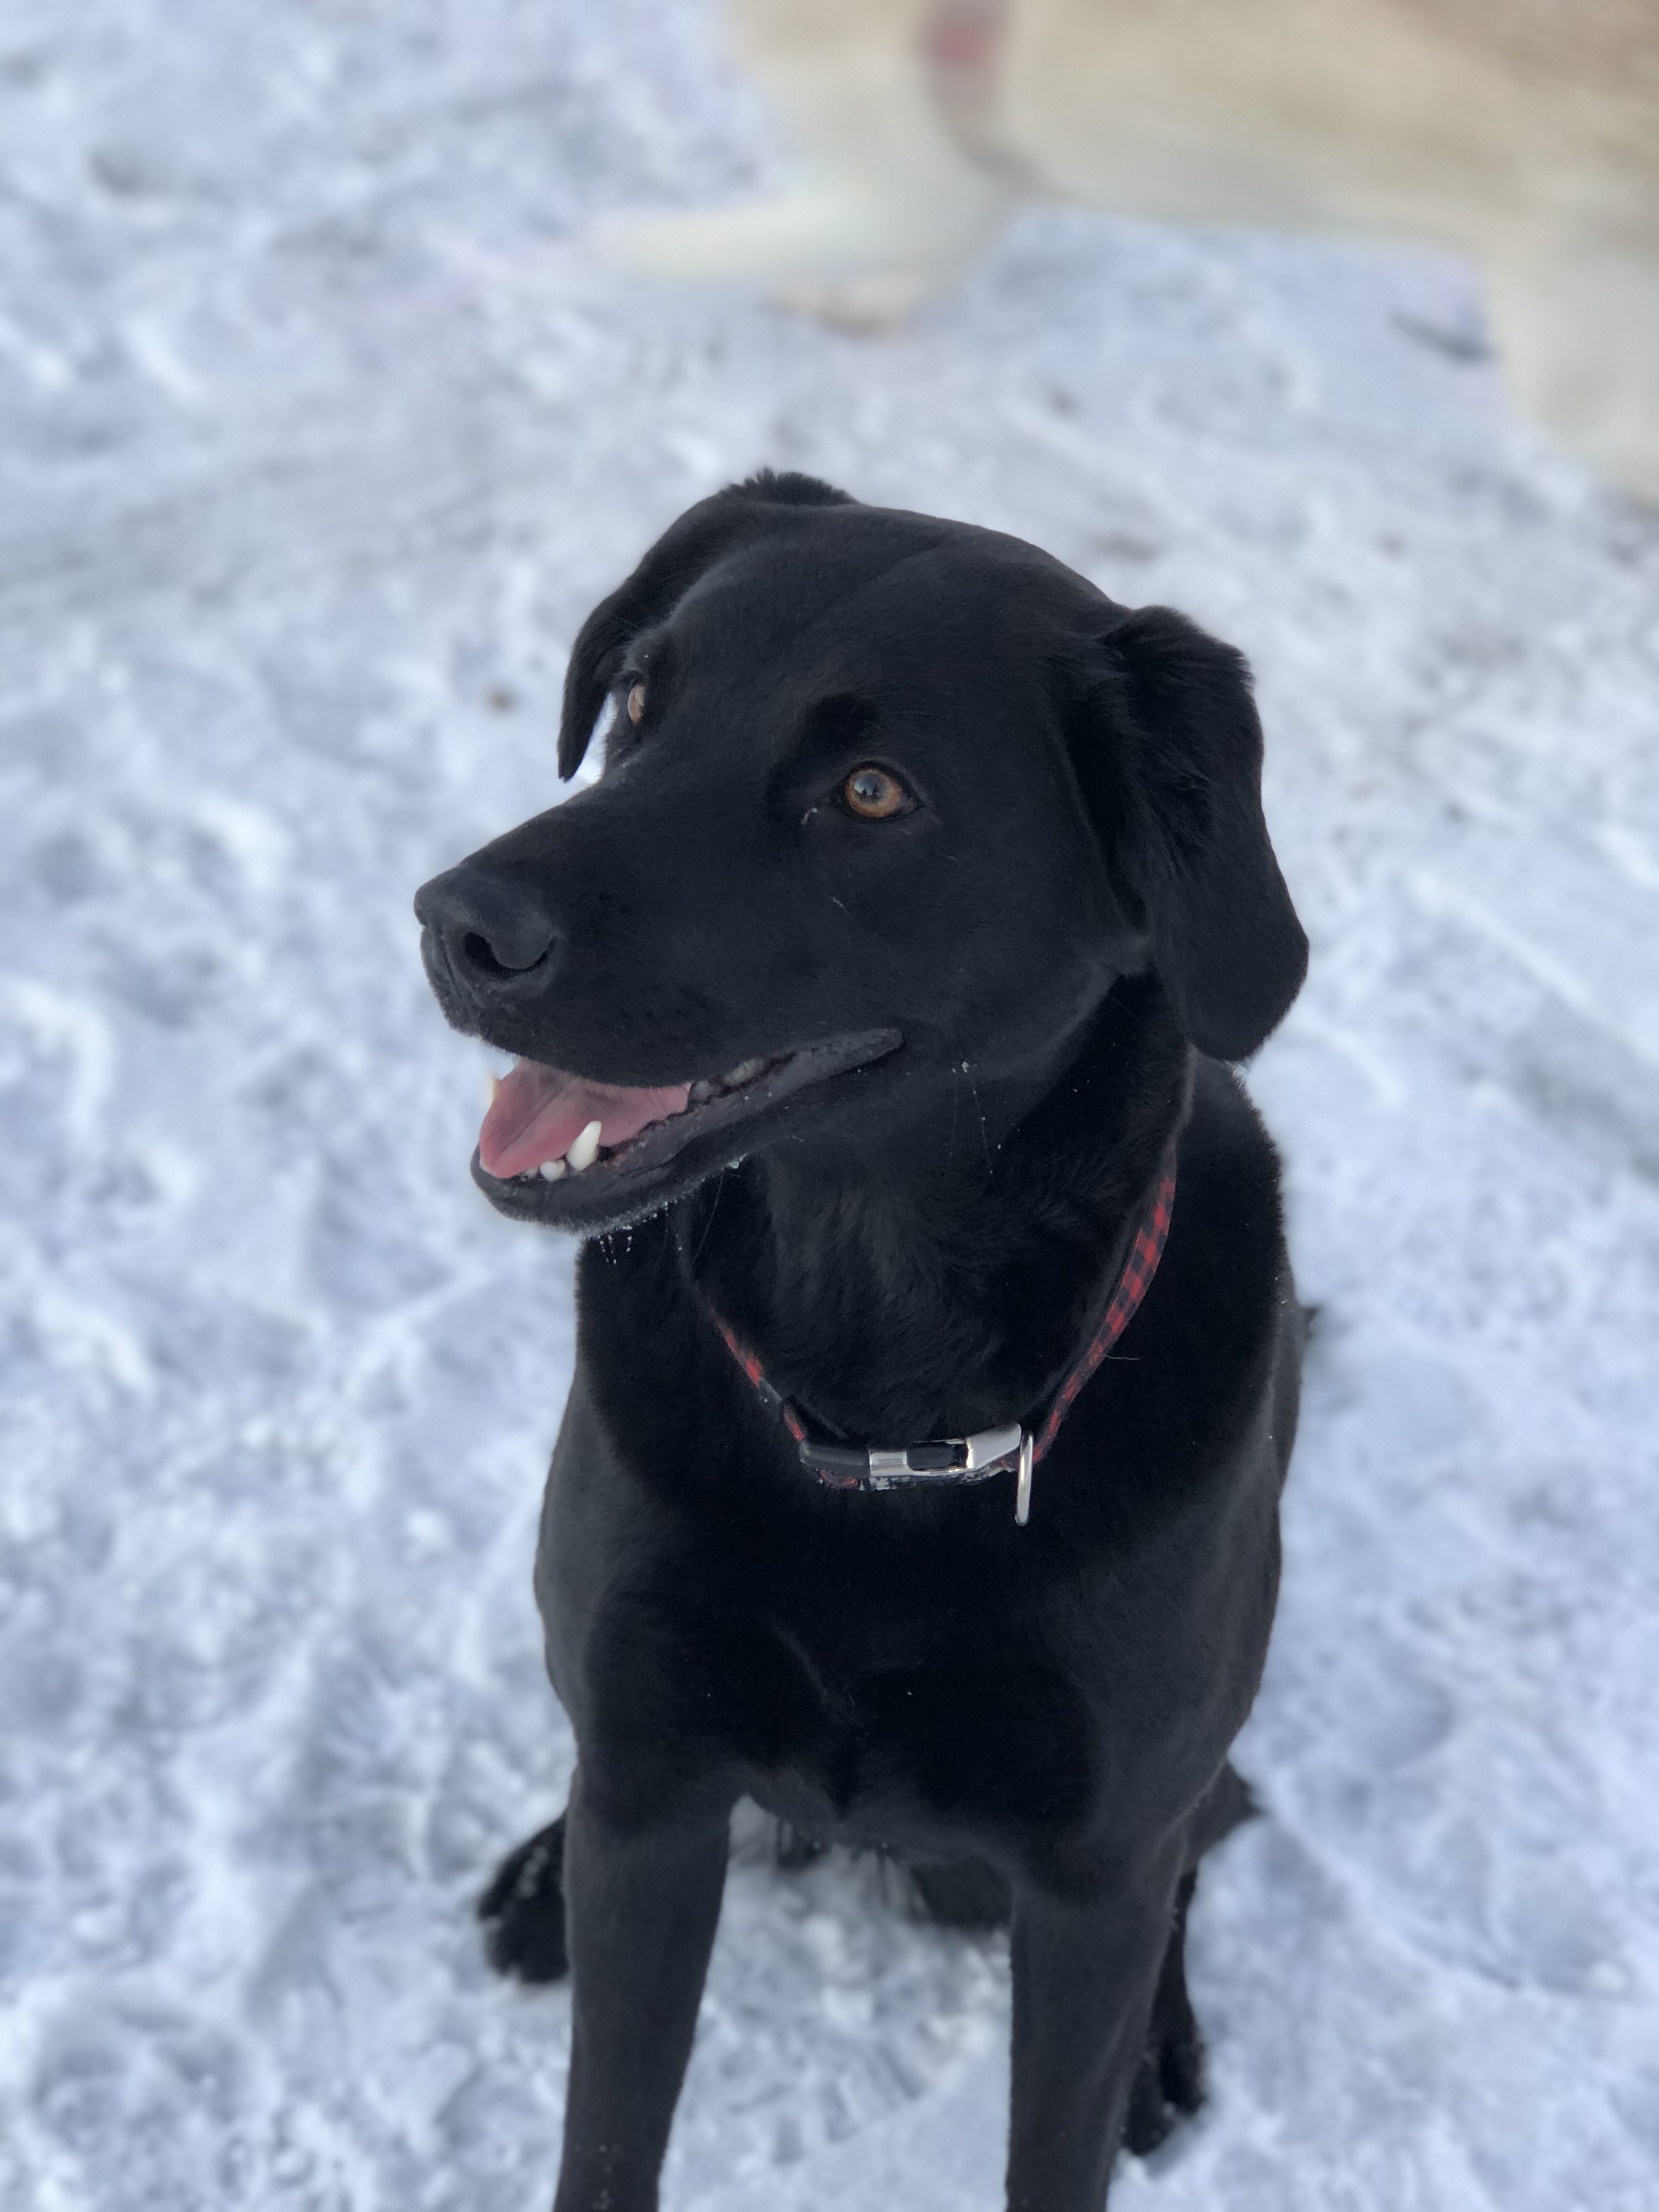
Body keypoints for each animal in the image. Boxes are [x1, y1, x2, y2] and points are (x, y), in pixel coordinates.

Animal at [415, 469, 1309, 2209]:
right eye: (641, 700)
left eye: (874, 792)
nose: (453, 925)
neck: (882, 1398)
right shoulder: (655, 1805)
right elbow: (608, 2135)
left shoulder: (1094, 1882)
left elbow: (1064, 2134)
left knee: (1209, 1835)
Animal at [598, 0, 1659, 502]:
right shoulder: (968, 196)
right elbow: (916, 272)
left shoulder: (900, 191)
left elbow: (687, 248)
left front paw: (597, 258)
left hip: (1560, 347)